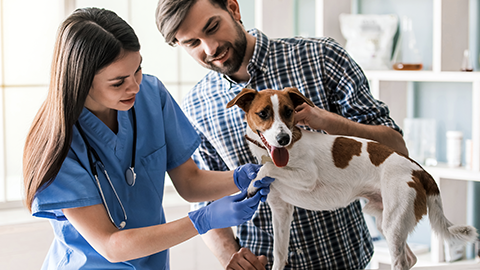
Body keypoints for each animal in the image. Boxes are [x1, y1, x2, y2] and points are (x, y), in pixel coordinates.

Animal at [227, 87, 478, 270]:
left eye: (289, 112)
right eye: (263, 114)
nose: (283, 139)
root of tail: (419, 170)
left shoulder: (307, 176)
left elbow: (267, 169)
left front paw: (252, 183)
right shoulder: (281, 212)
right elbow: (279, 255)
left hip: (394, 223)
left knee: (402, 261)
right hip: (385, 219)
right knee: (411, 258)